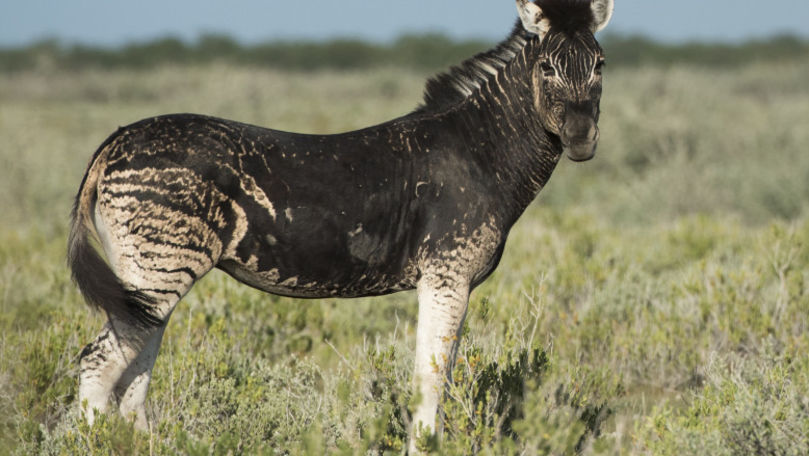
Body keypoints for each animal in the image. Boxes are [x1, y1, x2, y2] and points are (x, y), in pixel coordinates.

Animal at [69, 0, 612, 448]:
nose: (582, 139)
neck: (481, 151)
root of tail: (113, 141)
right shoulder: (447, 276)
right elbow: (431, 379)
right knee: (99, 365)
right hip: (158, 266)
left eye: (601, 65)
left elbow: (438, 374)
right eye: (546, 67)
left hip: (146, 275)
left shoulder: (451, 281)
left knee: (132, 377)